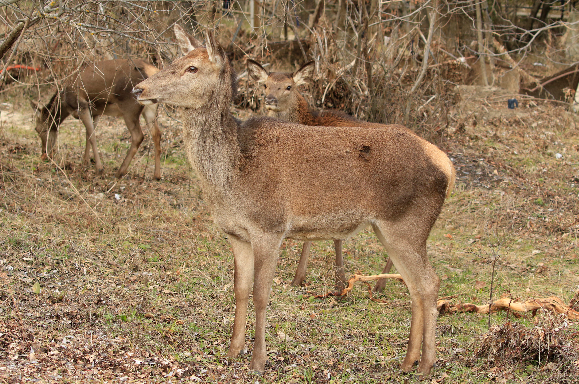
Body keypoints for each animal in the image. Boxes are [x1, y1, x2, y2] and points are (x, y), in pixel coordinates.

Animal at [32, 59, 162, 180]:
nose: (44, 153)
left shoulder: (82, 105)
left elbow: (92, 136)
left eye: (38, 129)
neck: (64, 103)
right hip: (150, 108)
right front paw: (85, 163)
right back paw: (156, 175)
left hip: (129, 107)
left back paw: (120, 171)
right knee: (156, 133)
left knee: (138, 136)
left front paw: (99, 169)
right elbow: (88, 135)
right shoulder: (95, 112)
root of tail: (152, 71)